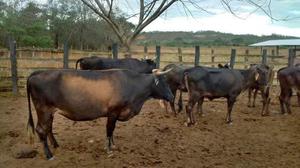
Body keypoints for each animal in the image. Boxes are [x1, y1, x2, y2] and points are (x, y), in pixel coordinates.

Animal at [28, 68, 175, 159]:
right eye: (163, 83)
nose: (172, 96)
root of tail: (37, 72)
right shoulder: (113, 112)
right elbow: (109, 129)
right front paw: (108, 149)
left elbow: (113, 130)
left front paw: (113, 145)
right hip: (43, 109)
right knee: (41, 129)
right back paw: (49, 155)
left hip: (49, 112)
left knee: (48, 128)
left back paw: (56, 145)